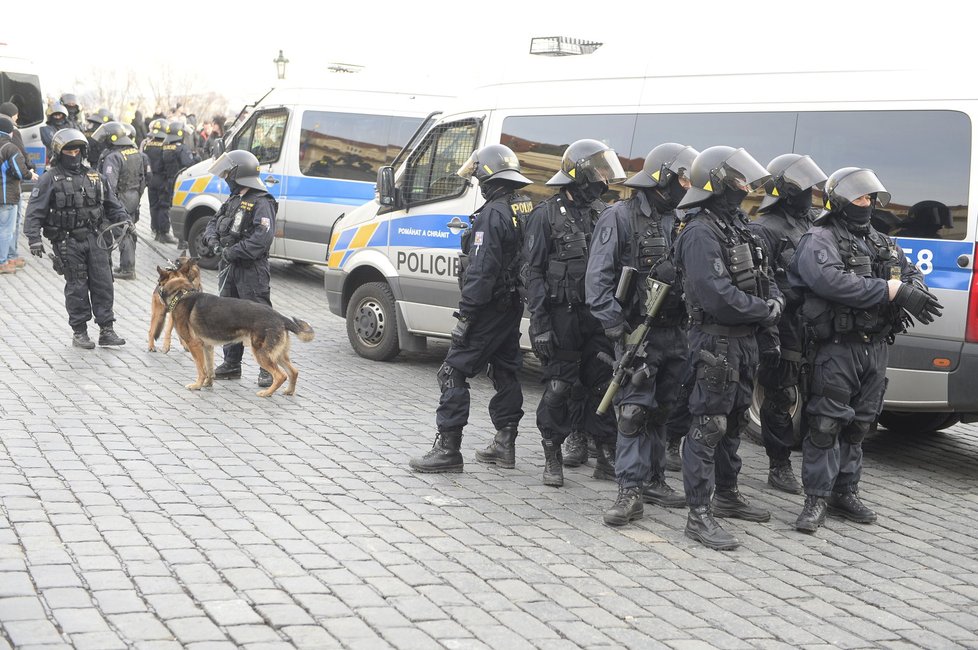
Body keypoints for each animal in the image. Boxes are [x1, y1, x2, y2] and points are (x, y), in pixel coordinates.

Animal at [156, 266, 314, 398]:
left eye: (158, 282)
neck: (181, 294)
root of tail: (280, 317)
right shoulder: (207, 346)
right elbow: (209, 369)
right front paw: (207, 383)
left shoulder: (194, 345)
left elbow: (201, 369)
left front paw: (197, 385)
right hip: (278, 354)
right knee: (294, 371)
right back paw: (289, 391)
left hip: (261, 353)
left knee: (281, 375)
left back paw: (267, 393)